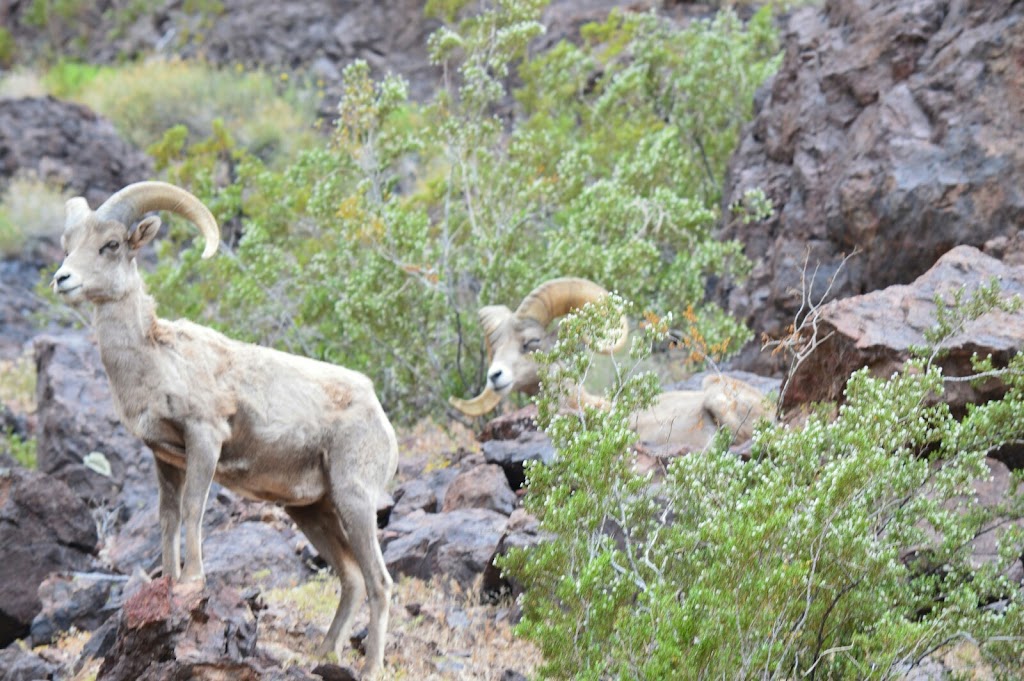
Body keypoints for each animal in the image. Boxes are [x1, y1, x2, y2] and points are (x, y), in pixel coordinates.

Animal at [51, 179, 397, 675]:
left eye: (111, 245)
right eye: (69, 244)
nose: (63, 279)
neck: (155, 358)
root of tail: (378, 412)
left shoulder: (204, 439)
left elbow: (193, 509)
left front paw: (192, 580)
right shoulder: (164, 459)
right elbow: (168, 518)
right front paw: (169, 581)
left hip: (355, 501)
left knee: (379, 582)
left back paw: (368, 669)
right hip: (311, 511)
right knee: (350, 577)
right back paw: (323, 653)